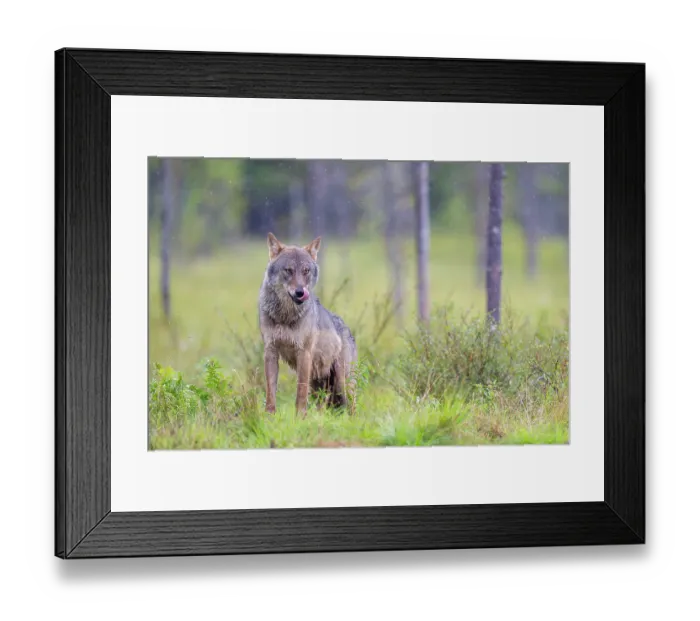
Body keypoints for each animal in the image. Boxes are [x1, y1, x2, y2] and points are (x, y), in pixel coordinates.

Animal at [258, 232, 358, 416]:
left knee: (351, 408)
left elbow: (300, 394)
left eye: (306, 271)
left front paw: (299, 418)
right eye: (288, 270)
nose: (300, 292)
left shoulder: (303, 353)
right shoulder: (270, 351)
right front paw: (269, 418)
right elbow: (270, 393)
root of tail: (348, 330)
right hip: (320, 384)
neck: (285, 316)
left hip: (342, 383)